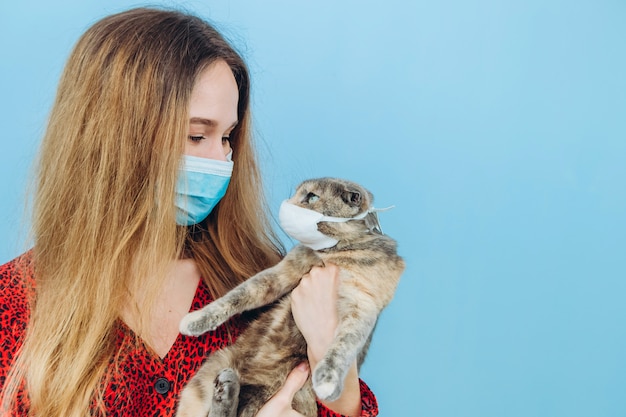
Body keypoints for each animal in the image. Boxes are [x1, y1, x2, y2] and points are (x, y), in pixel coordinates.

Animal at [174, 176, 404, 416]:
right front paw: (195, 320)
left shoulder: (362, 302)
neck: (334, 251)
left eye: (311, 197)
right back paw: (226, 389)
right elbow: (238, 295)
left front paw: (327, 380)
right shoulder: (282, 273)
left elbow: (344, 344)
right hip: (207, 375)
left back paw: (228, 389)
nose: (289, 204)